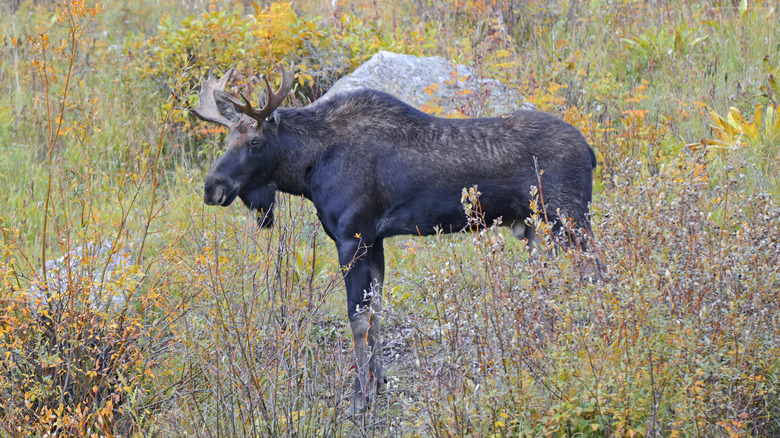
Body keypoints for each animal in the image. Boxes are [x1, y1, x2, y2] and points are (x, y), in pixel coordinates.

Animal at [190, 60, 596, 410]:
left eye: (255, 143)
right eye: (228, 139)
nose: (212, 188)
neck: (308, 170)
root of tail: (591, 153)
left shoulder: (352, 237)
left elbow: (357, 318)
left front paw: (359, 396)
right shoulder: (375, 240)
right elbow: (376, 312)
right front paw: (379, 381)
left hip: (569, 220)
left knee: (595, 274)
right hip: (537, 229)